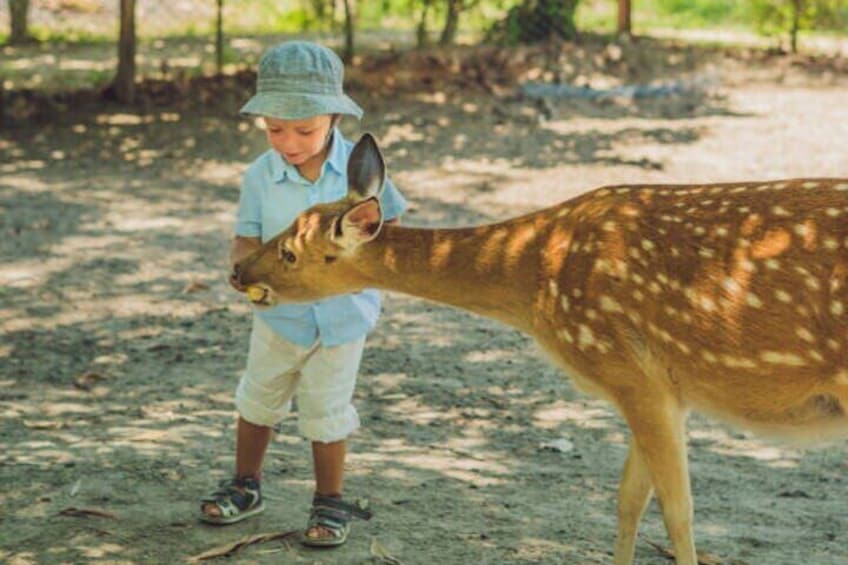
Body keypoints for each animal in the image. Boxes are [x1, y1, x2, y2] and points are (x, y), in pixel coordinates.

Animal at [232, 133, 848, 564]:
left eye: (289, 252)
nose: (239, 270)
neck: (535, 278)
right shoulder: (657, 387)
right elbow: (629, 499)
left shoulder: (631, 369)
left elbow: (678, 511)